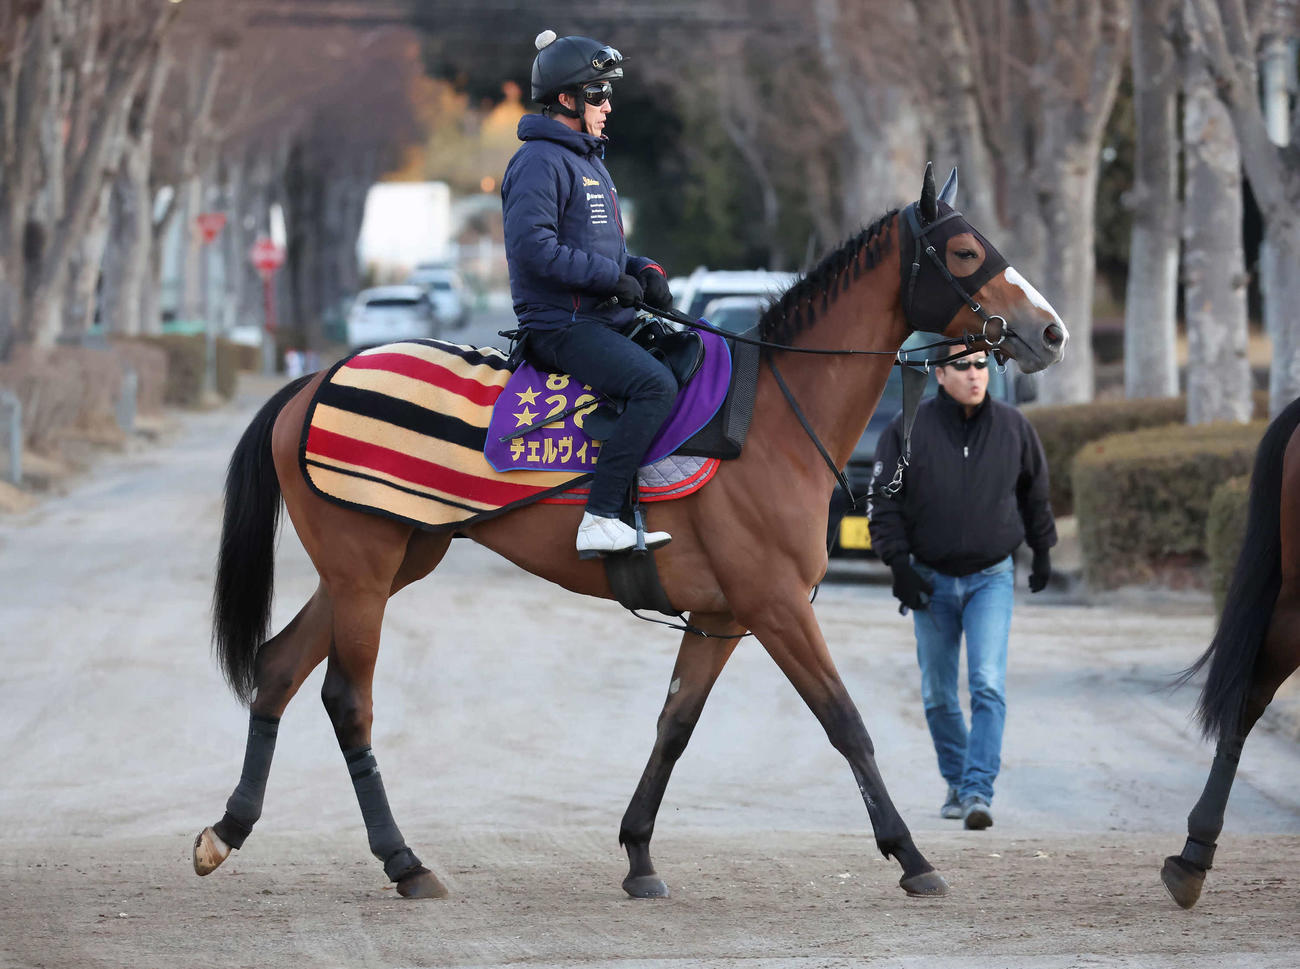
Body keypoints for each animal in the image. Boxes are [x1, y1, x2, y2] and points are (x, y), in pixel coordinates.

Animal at [192, 163, 1068, 901]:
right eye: (966, 249)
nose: (1052, 331)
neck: (771, 417)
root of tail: (313, 381)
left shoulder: (723, 616)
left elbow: (674, 727)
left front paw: (640, 853)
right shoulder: (778, 607)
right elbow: (845, 722)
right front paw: (911, 856)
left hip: (389, 562)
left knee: (279, 668)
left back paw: (227, 830)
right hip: (365, 573)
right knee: (348, 699)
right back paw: (404, 862)